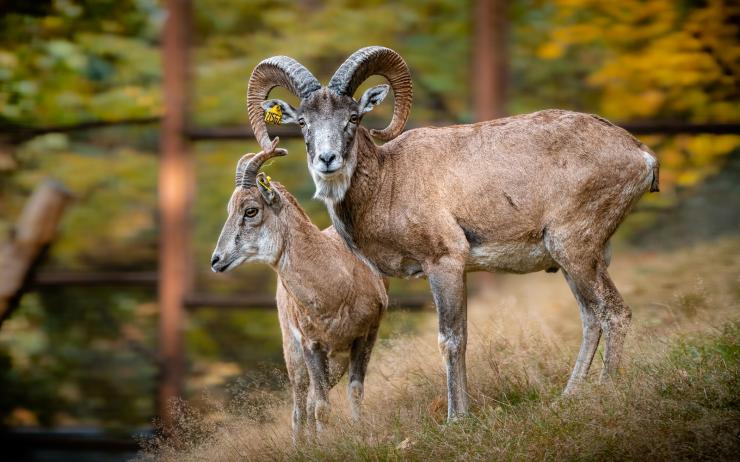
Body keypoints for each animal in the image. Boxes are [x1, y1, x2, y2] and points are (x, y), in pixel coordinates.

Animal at [210, 139, 388, 438]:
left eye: (250, 210)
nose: (216, 260)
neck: (336, 289)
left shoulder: (365, 336)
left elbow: (354, 391)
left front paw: (359, 432)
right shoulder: (310, 345)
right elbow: (321, 407)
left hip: (335, 360)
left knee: (313, 399)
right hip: (293, 353)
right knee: (300, 405)